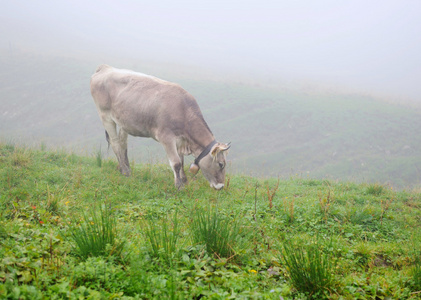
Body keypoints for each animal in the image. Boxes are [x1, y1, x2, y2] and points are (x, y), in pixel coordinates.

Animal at [89, 65, 230, 190]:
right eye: (221, 164)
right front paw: (179, 186)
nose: (221, 186)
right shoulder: (166, 137)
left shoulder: (180, 141)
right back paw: (125, 171)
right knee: (115, 143)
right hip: (105, 116)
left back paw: (127, 169)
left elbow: (182, 162)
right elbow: (176, 163)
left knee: (123, 144)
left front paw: (184, 181)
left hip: (124, 121)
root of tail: (105, 67)